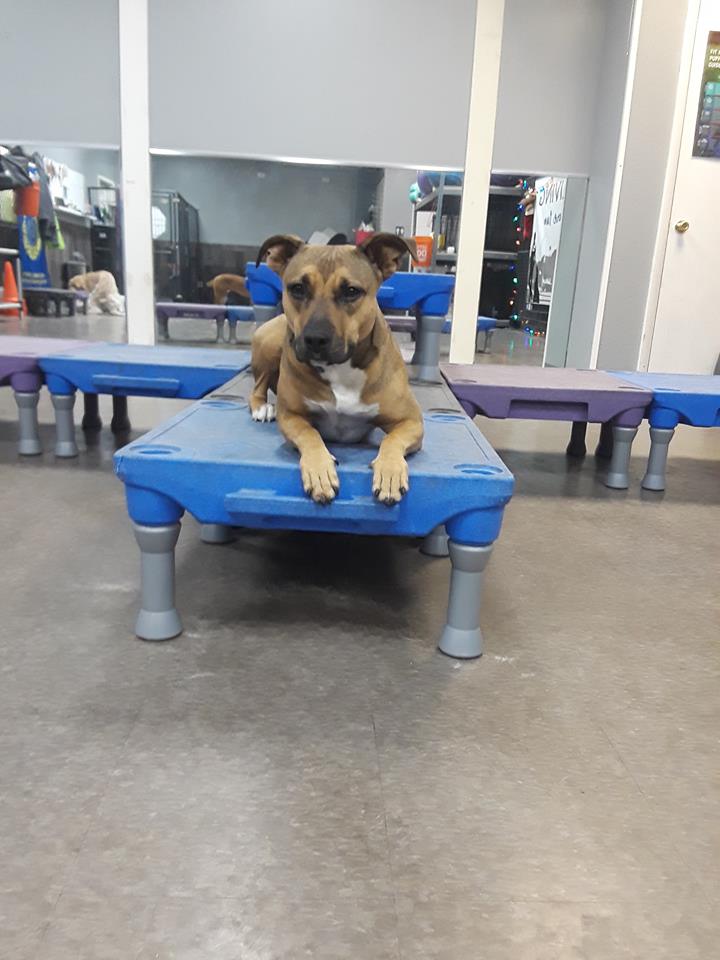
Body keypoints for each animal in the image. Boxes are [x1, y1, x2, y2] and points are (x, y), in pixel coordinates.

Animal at [249, 232, 423, 506]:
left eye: (351, 291)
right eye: (297, 288)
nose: (315, 339)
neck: (341, 366)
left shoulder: (411, 421)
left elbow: (392, 439)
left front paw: (390, 472)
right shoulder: (292, 417)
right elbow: (309, 434)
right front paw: (320, 471)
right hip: (270, 342)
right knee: (258, 385)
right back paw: (262, 407)